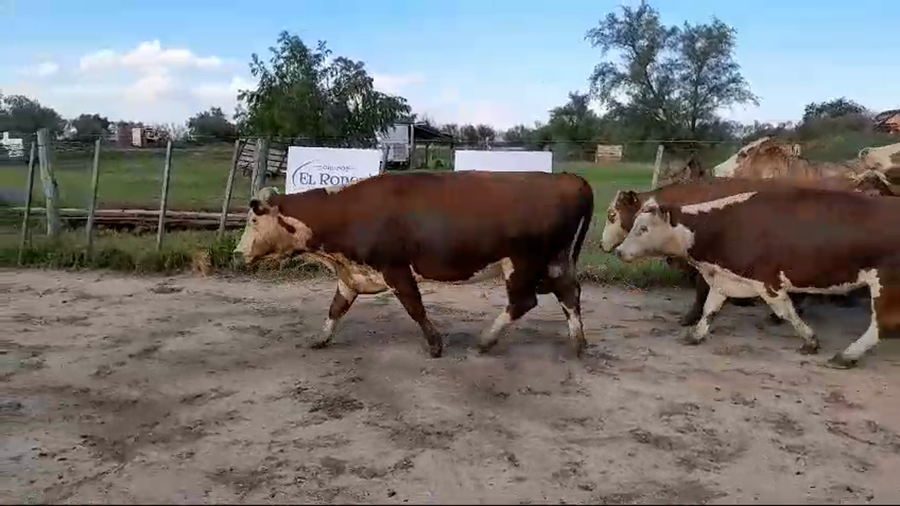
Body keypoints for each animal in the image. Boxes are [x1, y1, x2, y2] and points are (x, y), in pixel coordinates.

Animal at [233, 170, 595, 358]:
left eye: (253, 219)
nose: (237, 253)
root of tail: (568, 179)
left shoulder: (395, 268)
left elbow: (414, 306)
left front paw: (435, 344)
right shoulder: (351, 275)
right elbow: (336, 308)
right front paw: (320, 339)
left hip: (522, 263)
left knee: (524, 301)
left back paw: (486, 340)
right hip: (557, 261)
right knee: (569, 294)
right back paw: (577, 343)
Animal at [611, 186, 900, 369]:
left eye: (643, 228)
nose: (619, 251)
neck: (723, 226)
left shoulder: (767, 281)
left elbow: (786, 312)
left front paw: (810, 340)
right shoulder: (727, 277)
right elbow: (710, 308)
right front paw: (696, 334)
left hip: (886, 283)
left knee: (883, 324)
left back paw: (847, 355)